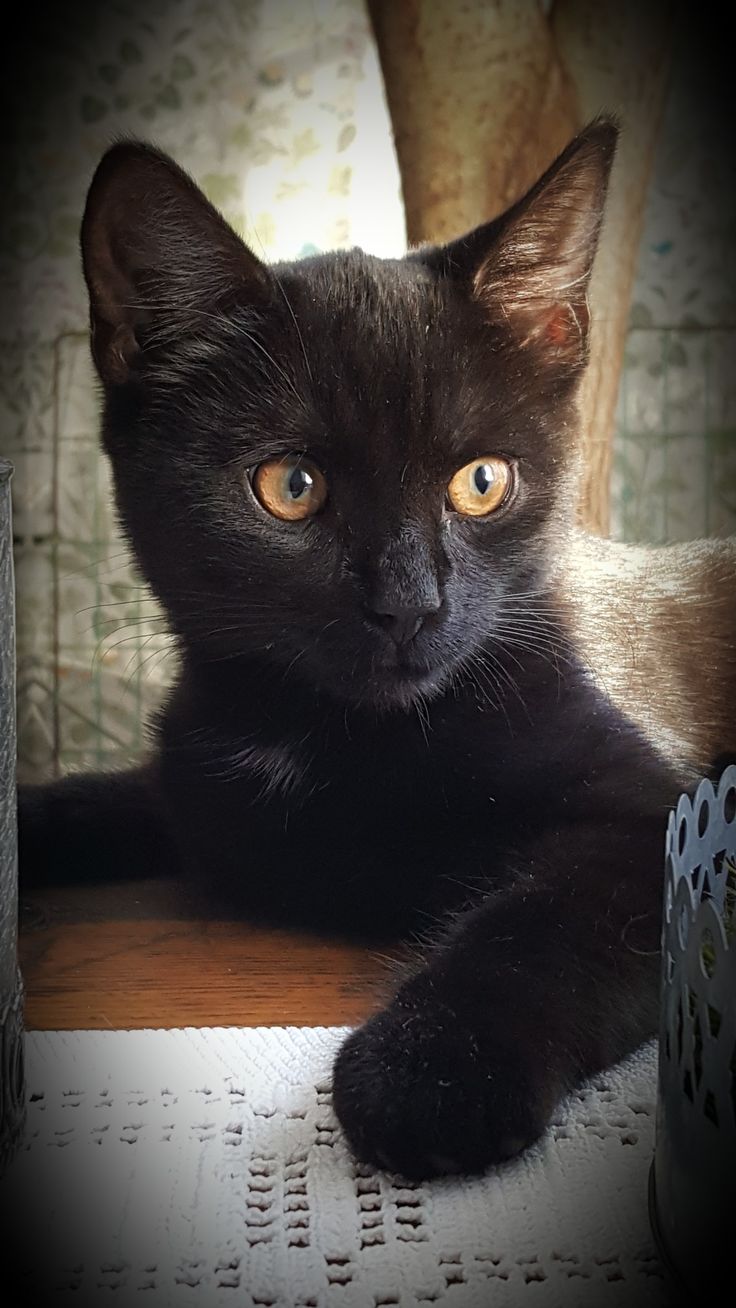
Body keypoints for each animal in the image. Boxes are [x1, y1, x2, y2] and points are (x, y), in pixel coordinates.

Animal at [18, 120, 685, 1187]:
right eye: (291, 486)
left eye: (482, 481)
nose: (408, 605)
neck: (324, 735)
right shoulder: (195, 787)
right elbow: (98, 793)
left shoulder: (651, 811)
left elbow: (544, 919)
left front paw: (432, 1070)